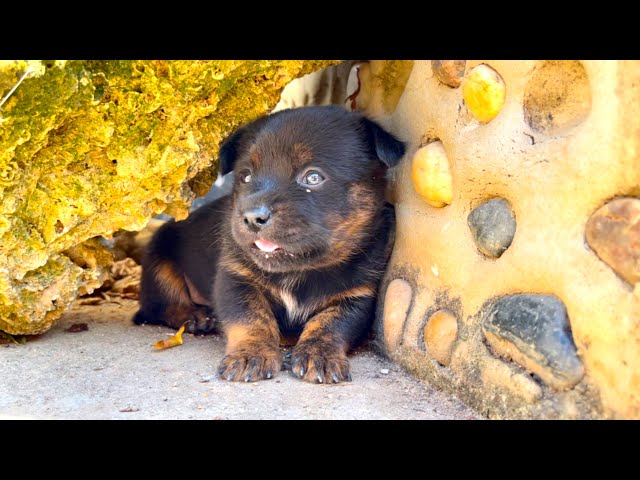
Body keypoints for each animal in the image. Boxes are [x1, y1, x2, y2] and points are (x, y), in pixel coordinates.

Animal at [133, 105, 404, 382]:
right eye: (245, 176)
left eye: (313, 177)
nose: (252, 218)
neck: (298, 271)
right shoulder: (235, 279)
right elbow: (251, 318)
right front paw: (251, 354)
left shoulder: (358, 295)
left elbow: (332, 323)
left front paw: (320, 353)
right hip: (158, 260)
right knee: (159, 307)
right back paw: (194, 316)